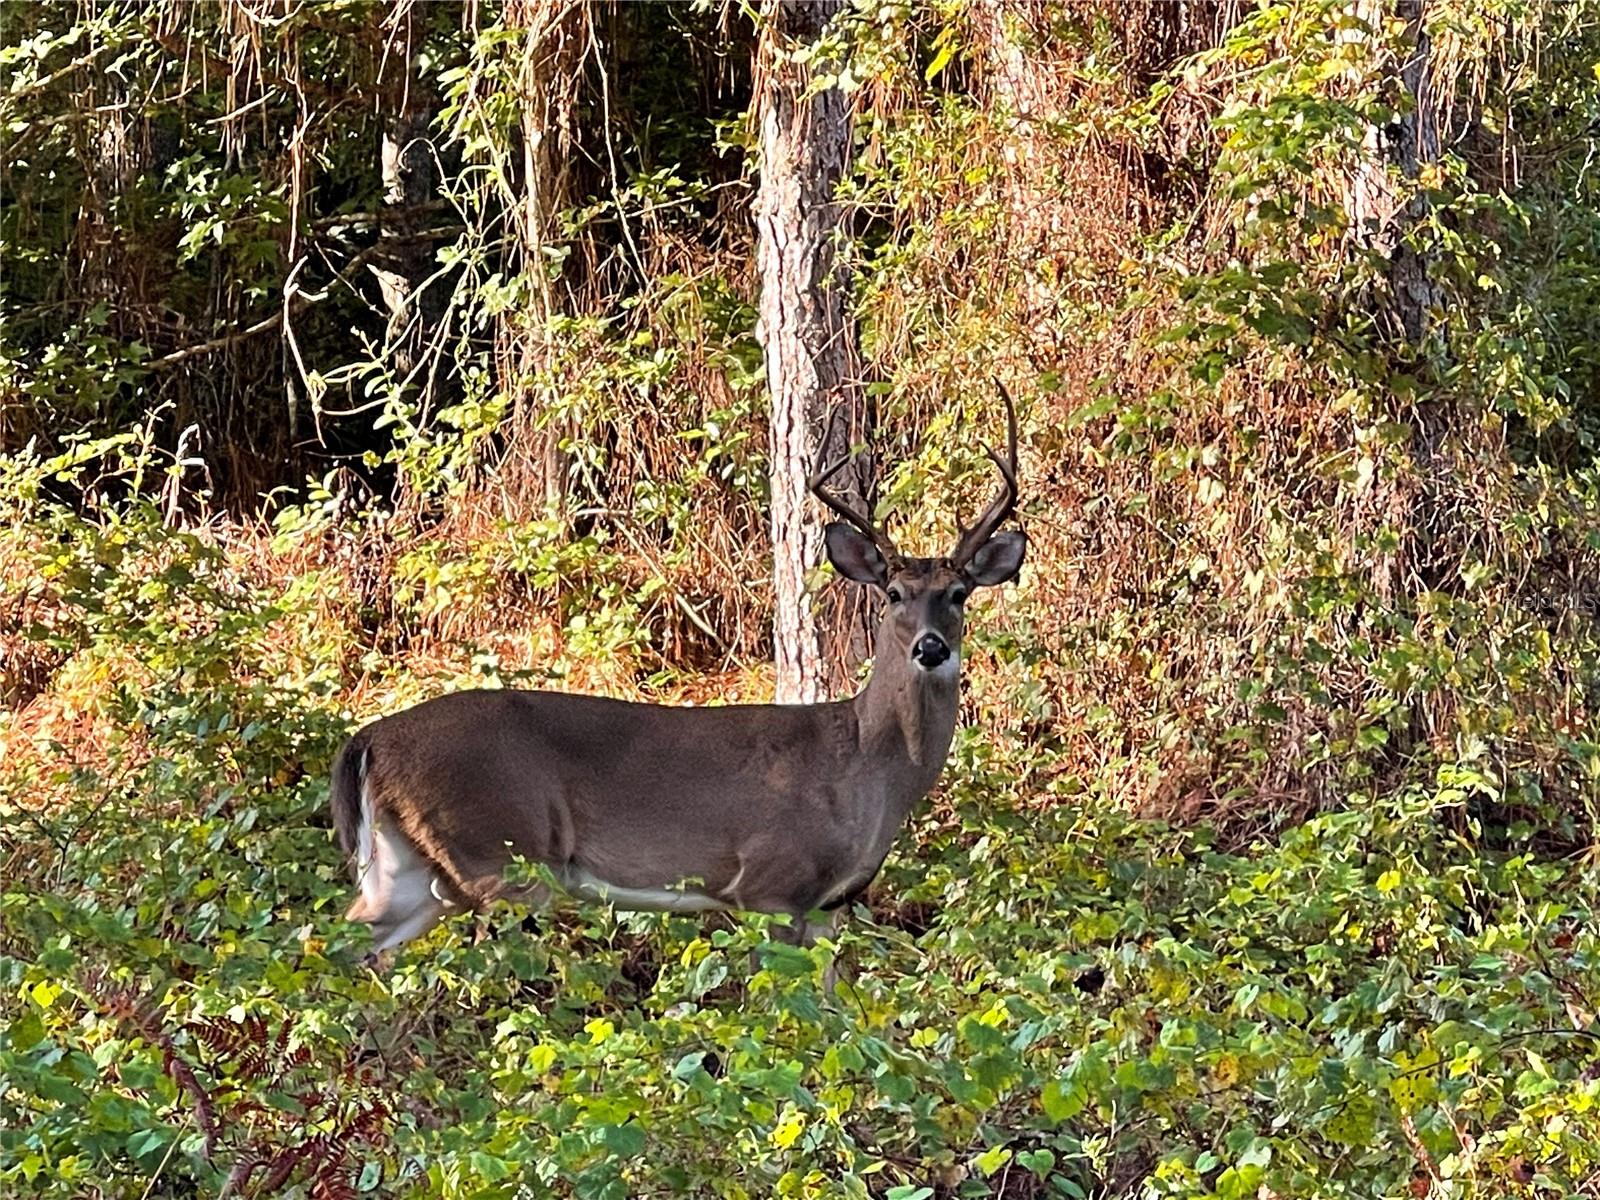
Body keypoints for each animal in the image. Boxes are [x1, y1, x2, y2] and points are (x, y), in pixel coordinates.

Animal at [328, 385, 1024, 960]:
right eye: (894, 594)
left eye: (958, 593)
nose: (931, 648)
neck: (865, 763)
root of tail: (368, 740)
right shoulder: (770, 882)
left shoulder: (832, 905)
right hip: (500, 852)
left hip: (407, 869)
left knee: (345, 947)